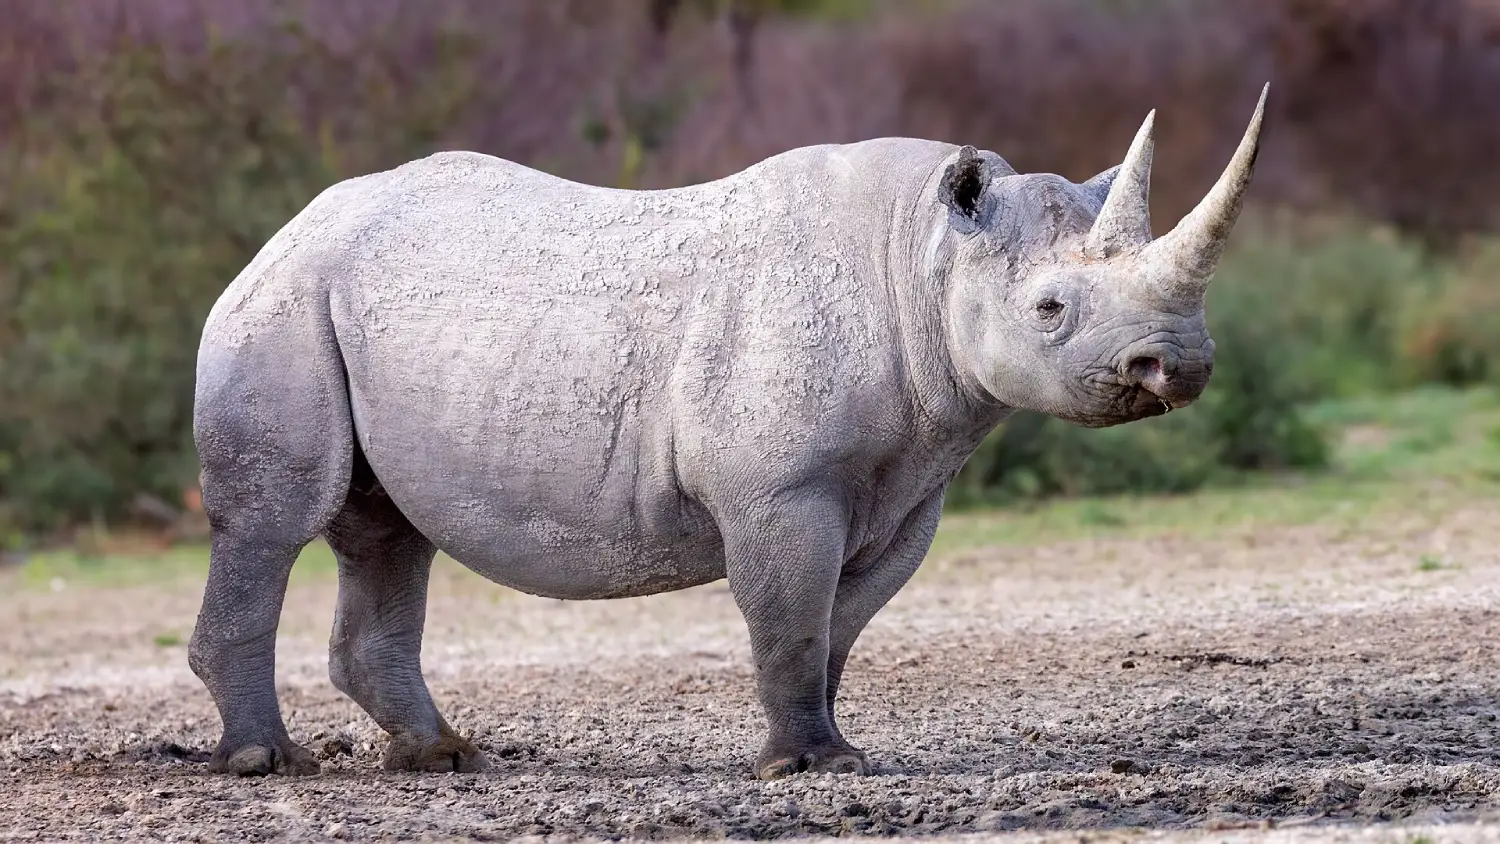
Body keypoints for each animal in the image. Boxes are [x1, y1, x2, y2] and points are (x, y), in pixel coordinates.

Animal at [189, 86, 1268, 778]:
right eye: (1049, 309)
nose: (1178, 366)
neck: (925, 259)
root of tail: (284, 229)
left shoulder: (909, 487)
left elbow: (839, 625)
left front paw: (832, 750)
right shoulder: (779, 487)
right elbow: (789, 617)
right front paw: (806, 768)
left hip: (354, 310)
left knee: (386, 531)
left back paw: (442, 758)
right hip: (280, 306)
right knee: (278, 521)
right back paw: (266, 762)